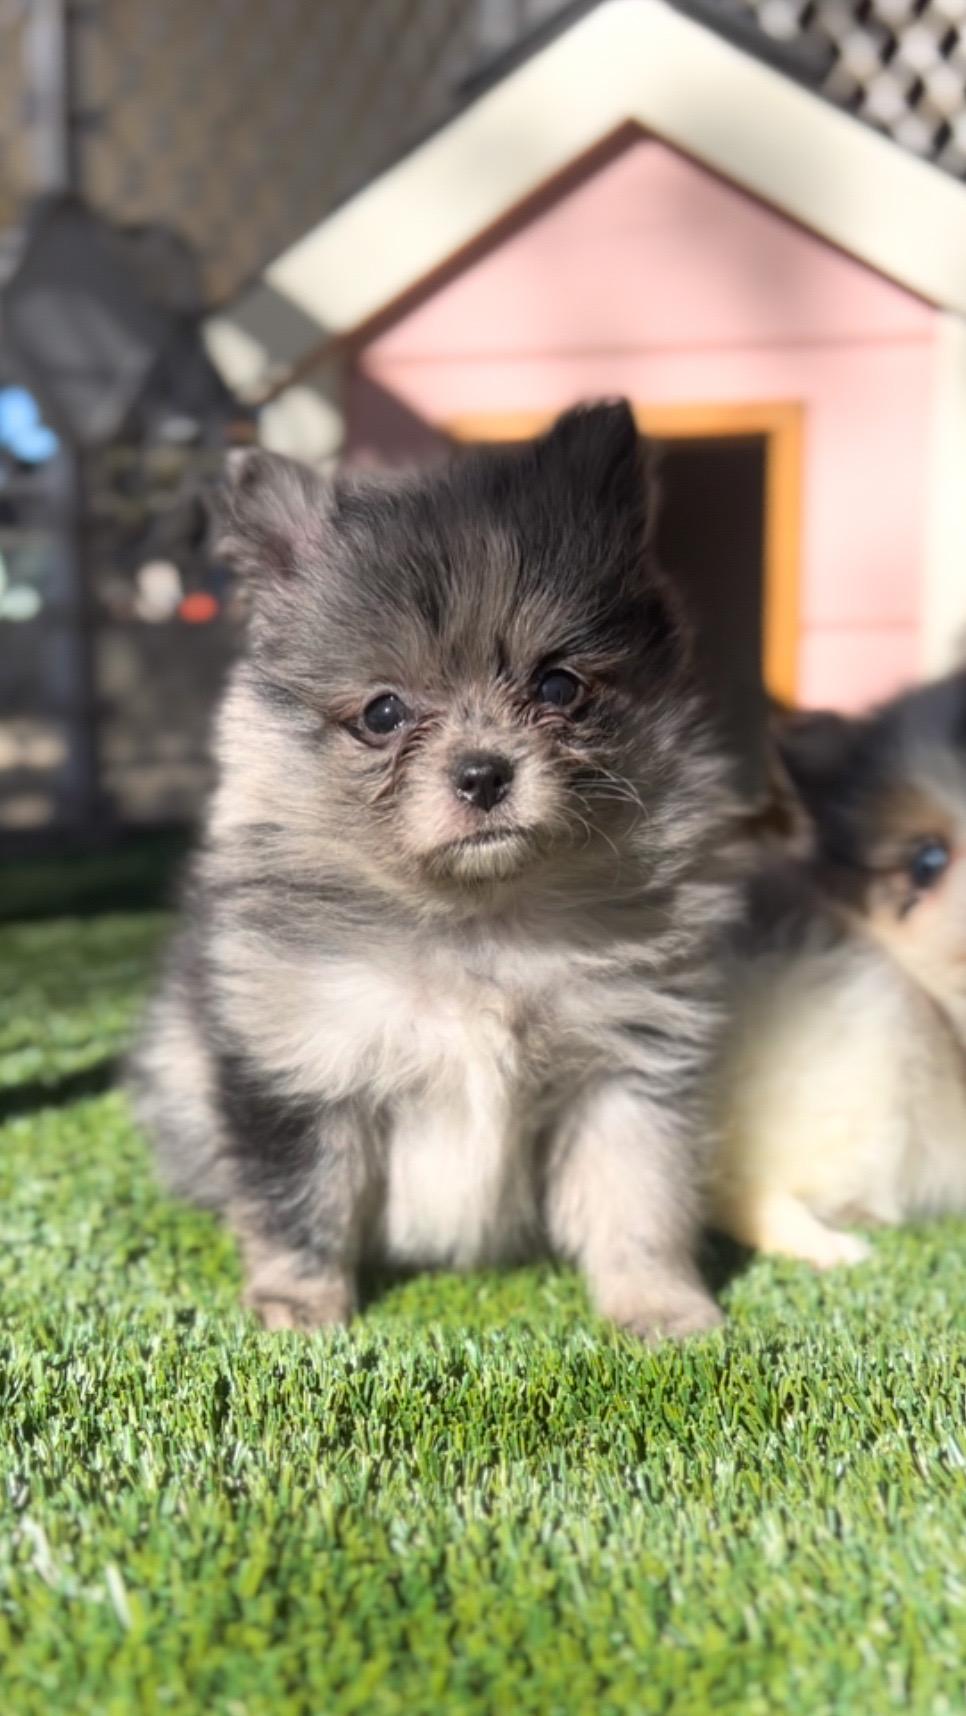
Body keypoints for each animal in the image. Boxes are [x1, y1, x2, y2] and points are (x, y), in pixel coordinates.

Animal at [128, 401, 740, 1337]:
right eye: (384, 713)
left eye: (558, 687)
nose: (484, 773)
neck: (476, 923)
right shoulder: (301, 1064)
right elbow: (299, 1201)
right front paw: (298, 1305)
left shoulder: (626, 1065)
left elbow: (638, 1197)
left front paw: (661, 1307)